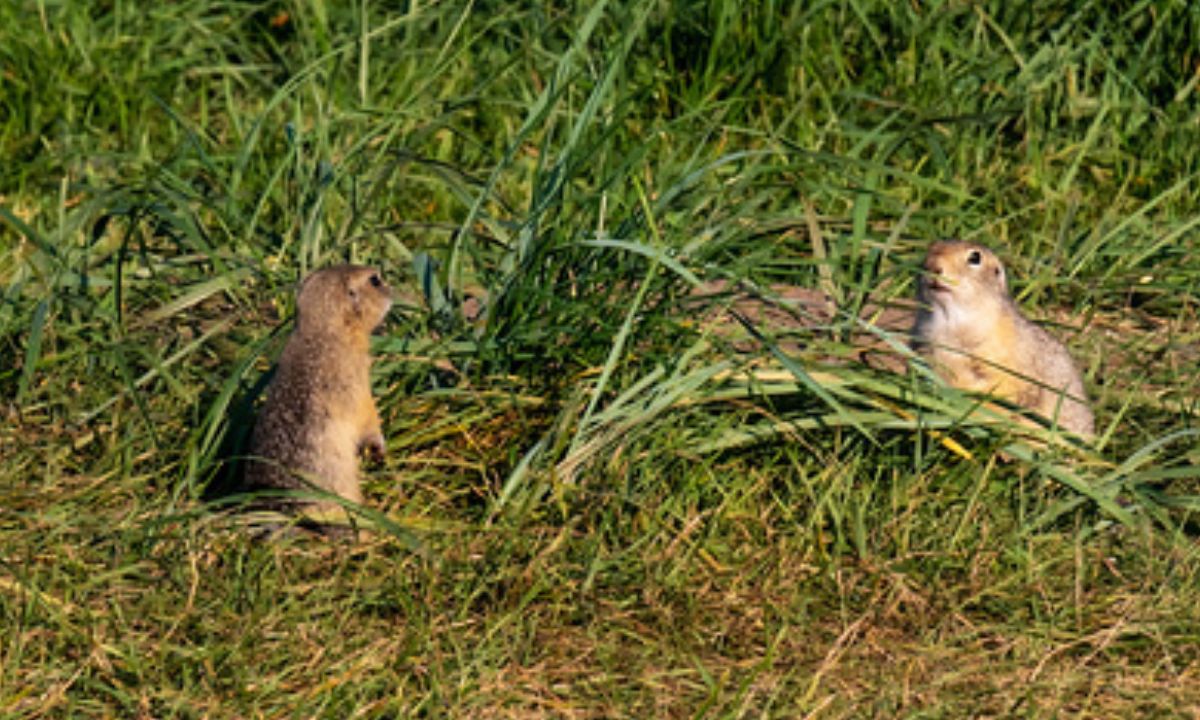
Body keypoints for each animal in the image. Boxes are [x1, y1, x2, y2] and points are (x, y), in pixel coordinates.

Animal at [246, 264, 396, 518]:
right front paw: (378, 447)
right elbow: (367, 415)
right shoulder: (357, 378)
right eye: (375, 280)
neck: (322, 330)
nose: (392, 290)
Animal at [907, 240, 1099, 439]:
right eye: (931, 248)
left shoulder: (1007, 361)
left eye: (975, 257)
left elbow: (1005, 392)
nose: (932, 267)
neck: (951, 322)